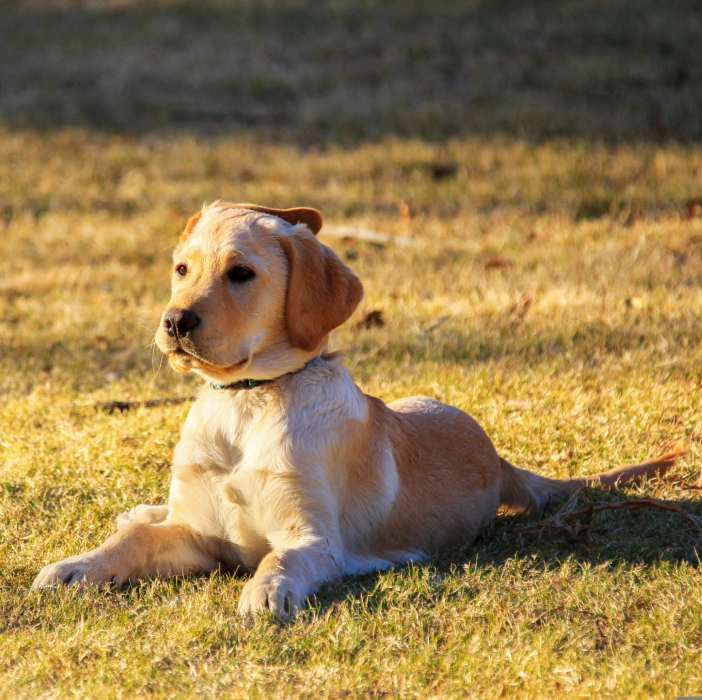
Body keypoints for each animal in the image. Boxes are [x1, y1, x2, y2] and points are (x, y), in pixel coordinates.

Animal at [31, 204, 680, 616]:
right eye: (181, 269)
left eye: (241, 273)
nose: (174, 321)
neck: (248, 402)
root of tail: (499, 461)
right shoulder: (196, 533)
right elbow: (134, 543)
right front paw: (76, 566)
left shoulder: (314, 538)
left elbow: (280, 559)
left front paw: (266, 591)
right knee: (146, 518)